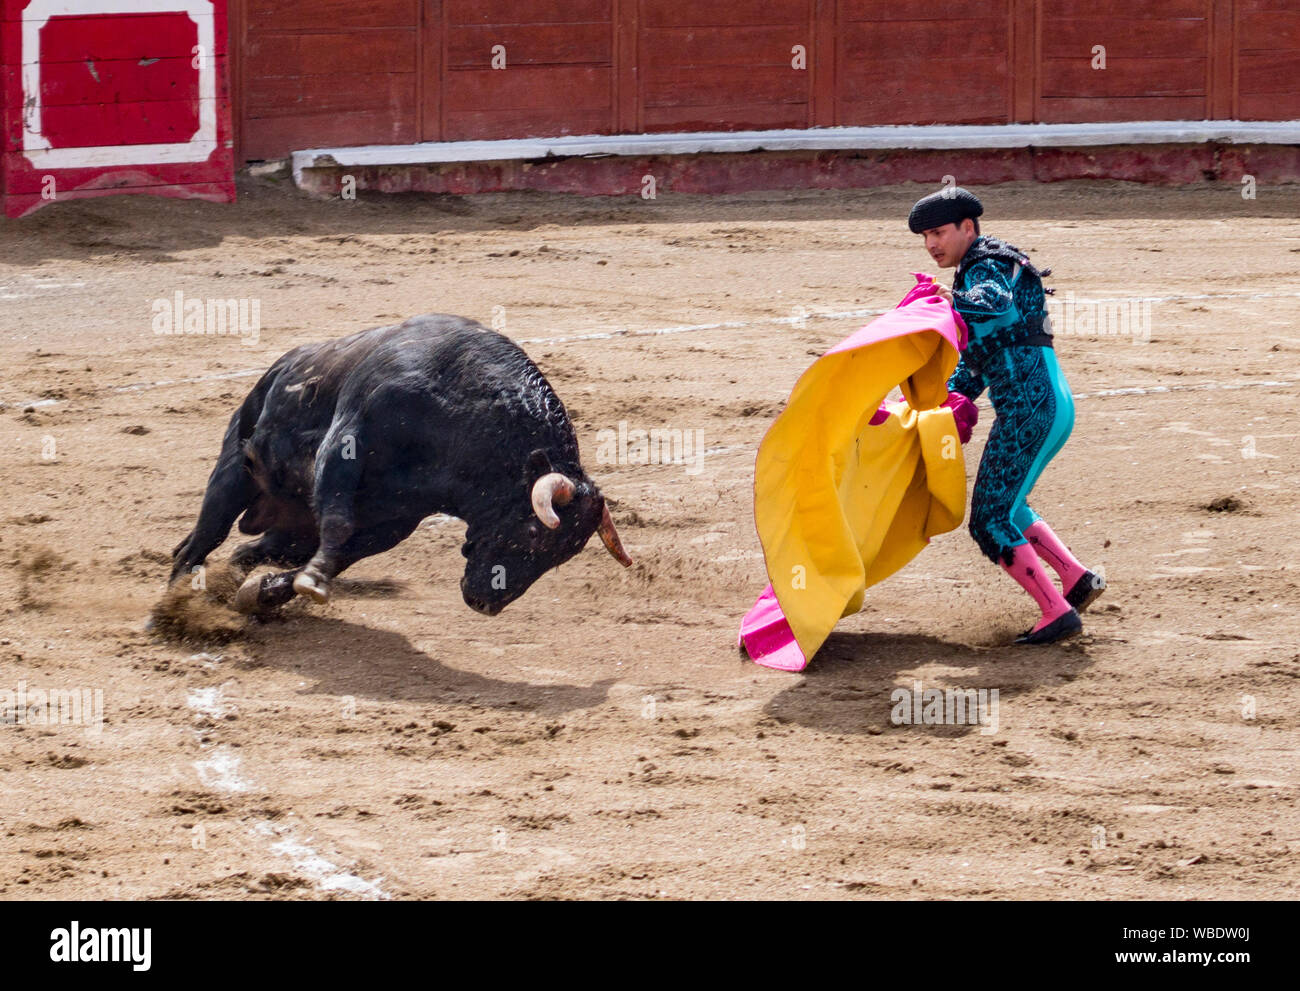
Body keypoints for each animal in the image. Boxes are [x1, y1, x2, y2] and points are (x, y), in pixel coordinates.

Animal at [169, 313, 632, 616]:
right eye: (534, 532)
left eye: (562, 557)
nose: (486, 603)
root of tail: (280, 365)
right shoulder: (344, 446)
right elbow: (338, 526)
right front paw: (311, 581)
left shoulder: (395, 523)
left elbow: (342, 555)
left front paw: (265, 593)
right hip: (233, 471)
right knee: (203, 539)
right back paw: (173, 603)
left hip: (292, 530)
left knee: (248, 550)